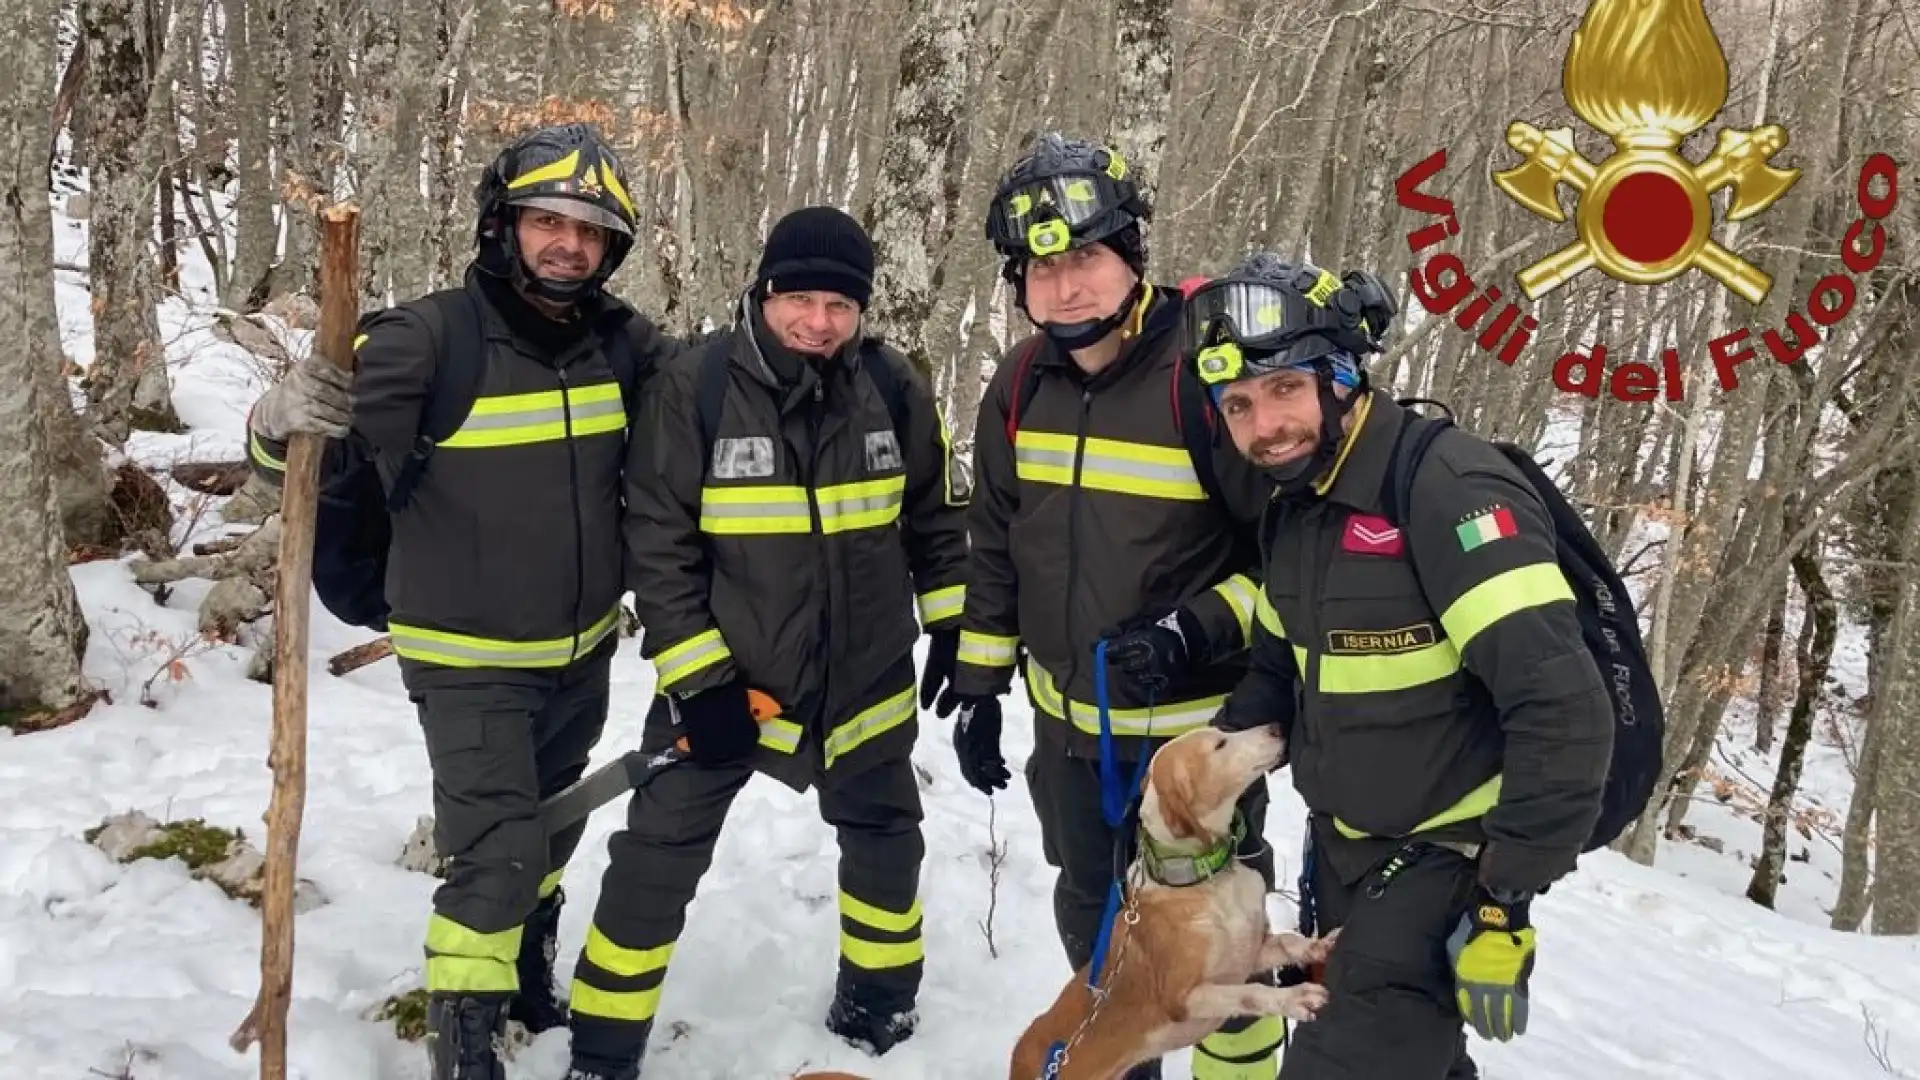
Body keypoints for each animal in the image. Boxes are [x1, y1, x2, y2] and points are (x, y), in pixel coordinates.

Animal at [794, 718, 1336, 1080]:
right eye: (1221, 744)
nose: (1276, 725)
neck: (1203, 881)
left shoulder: (1252, 950)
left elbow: (1288, 944)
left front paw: (1320, 946)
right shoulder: (1186, 996)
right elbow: (1249, 993)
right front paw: (1295, 998)